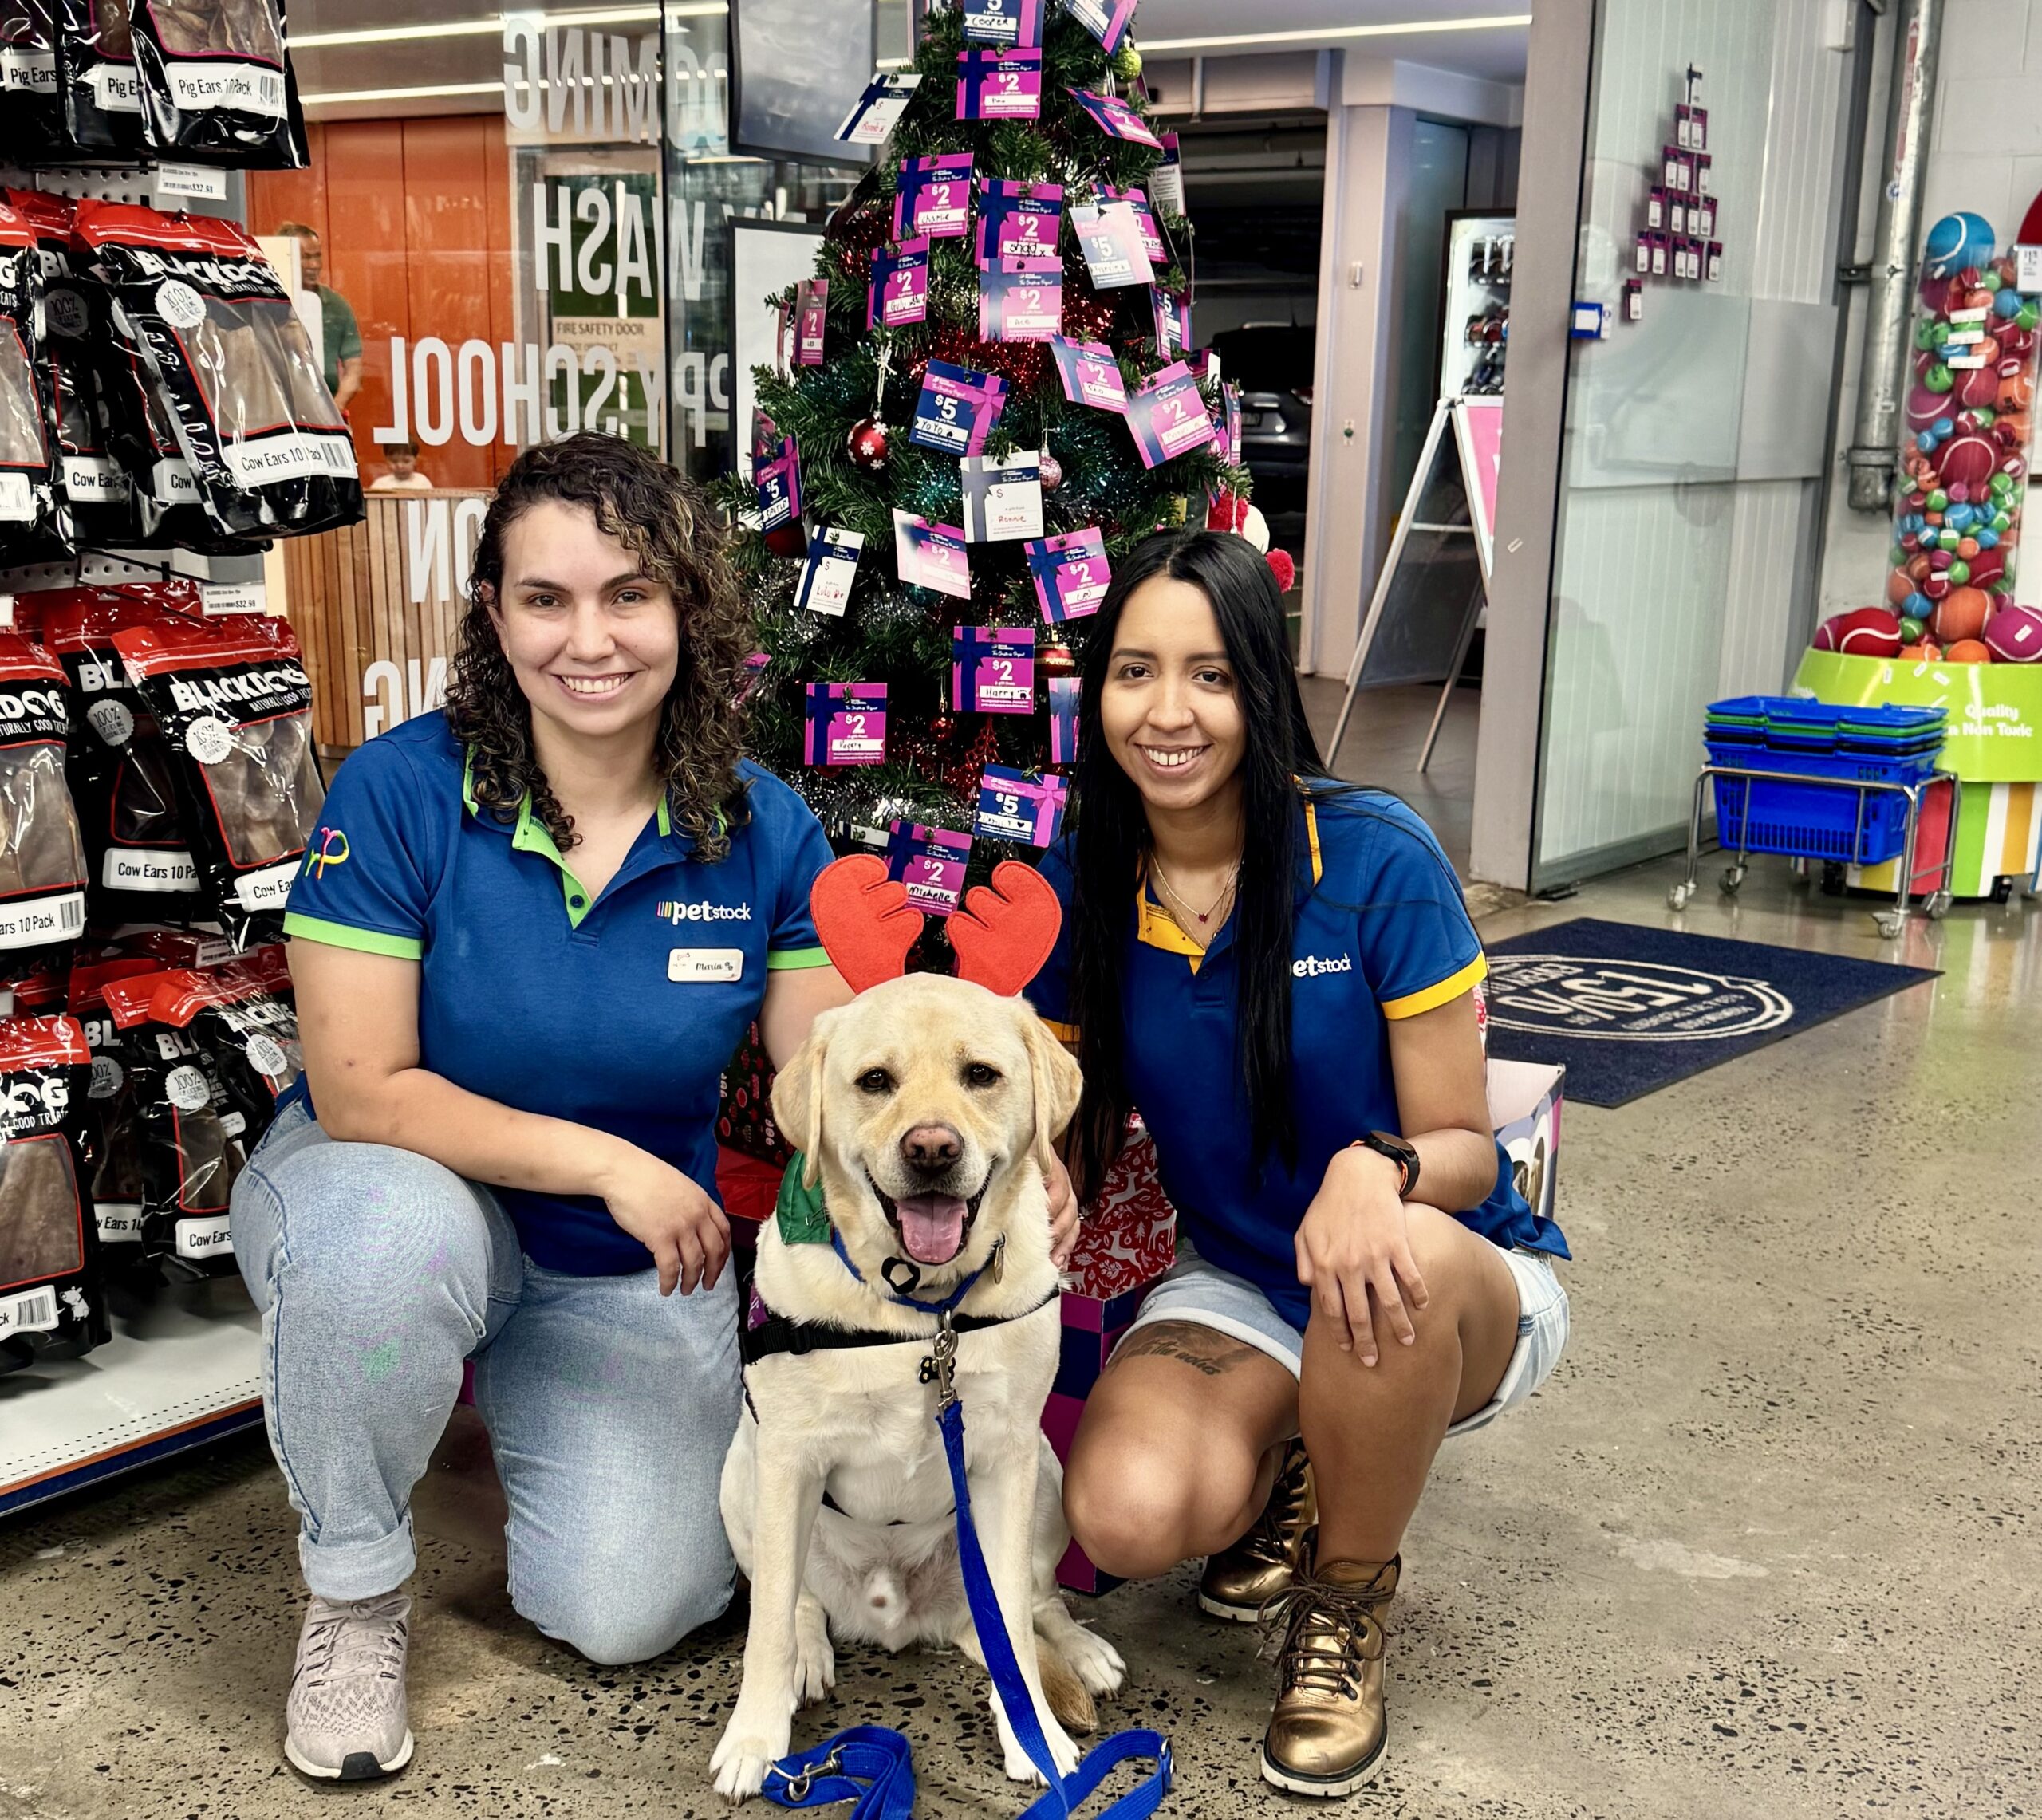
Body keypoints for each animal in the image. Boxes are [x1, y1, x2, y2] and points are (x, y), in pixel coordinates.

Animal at [715, 976, 1135, 1797]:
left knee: (1033, 1605)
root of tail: (906, 1617)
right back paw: (809, 1656)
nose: (933, 1149)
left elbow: (1014, 1622)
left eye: (981, 1075)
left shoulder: (1006, 1459)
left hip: (1047, 1473)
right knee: (800, 1602)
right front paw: (754, 1737)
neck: (921, 1308)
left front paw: (1033, 1734)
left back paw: (1078, 1652)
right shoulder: (787, 1461)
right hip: (738, 1477)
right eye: (875, 1080)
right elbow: (768, 1623)